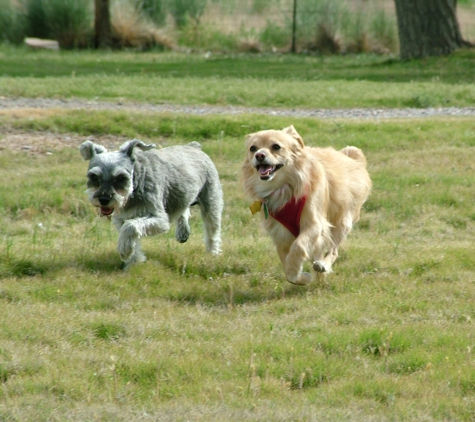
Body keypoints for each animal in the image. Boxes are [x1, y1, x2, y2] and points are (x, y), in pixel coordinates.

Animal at [79, 140, 223, 268]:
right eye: (94, 176)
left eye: (121, 177)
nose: (103, 199)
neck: (134, 188)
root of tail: (193, 146)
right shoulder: (121, 219)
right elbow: (130, 235)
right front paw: (134, 262)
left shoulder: (159, 218)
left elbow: (131, 226)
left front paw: (125, 251)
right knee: (183, 209)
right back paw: (183, 232)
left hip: (211, 202)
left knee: (212, 231)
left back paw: (212, 253)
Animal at [244, 123, 374, 286]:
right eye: (252, 148)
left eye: (276, 147)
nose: (259, 155)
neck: (284, 188)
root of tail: (349, 157)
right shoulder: (280, 234)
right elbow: (286, 263)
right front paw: (300, 278)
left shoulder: (315, 224)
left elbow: (298, 246)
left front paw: (296, 269)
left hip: (343, 221)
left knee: (333, 250)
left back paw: (323, 265)